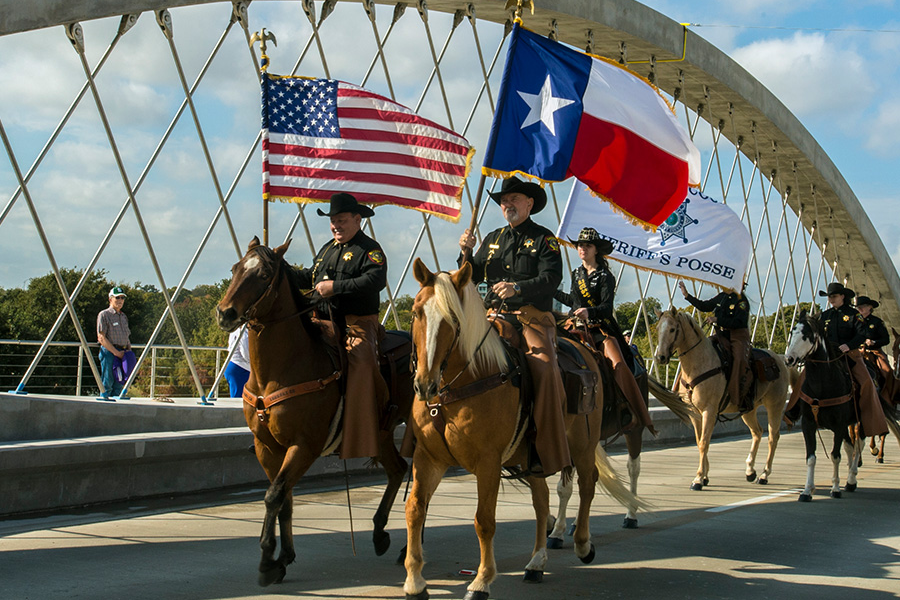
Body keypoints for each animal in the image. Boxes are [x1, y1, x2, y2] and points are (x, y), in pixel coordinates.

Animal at [214, 238, 412, 584]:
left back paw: (408, 549)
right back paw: (379, 534)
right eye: (235, 268)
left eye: (263, 274)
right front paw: (283, 557)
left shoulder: (304, 445)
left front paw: (267, 561)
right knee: (398, 469)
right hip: (382, 432)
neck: (282, 368)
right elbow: (284, 498)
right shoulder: (266, 446)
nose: (226, 313)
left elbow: (274, 495)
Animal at [404, 258, 636, 600]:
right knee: (541, 500)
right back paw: (536, 562)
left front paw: (482, 581)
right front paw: (415, 580)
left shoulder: (487, 462)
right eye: (417, 312)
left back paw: (582, 543)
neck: (458, 386)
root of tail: (587, 351)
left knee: (587, 484)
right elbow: (415, 509)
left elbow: (484, 520)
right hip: (534, 454)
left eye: (453, 319)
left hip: (580, 442)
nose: (424, 385)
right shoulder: (428, 457)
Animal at [652, 310, 788, 492]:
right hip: (748, 409)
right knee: (757, 432)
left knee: (773, 436)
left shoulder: (709, 410)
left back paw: (764, 475)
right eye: (658, 328)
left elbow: (704, 442)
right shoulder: (695, 413)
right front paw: (704, 476)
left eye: (673, 329)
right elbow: (700, 441)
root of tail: (779, 360)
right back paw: (750, 470)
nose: (660, 357)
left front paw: (698, 479)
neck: (698, 363)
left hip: (775, 405)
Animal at [784, 310, 860, 502]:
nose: (789, 359)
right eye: (792, 331)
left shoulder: (839, 424)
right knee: (850, 446)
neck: (822, 384)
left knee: (858, 445)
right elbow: (811, 457)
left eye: (807, 335)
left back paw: (851, 478)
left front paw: (835, 488)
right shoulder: (808, 423)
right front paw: (806, 491)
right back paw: (849, 480)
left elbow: (835, 456)